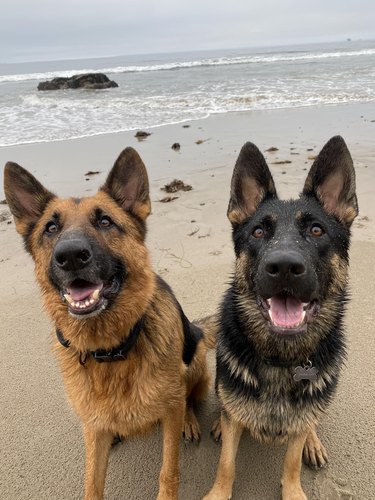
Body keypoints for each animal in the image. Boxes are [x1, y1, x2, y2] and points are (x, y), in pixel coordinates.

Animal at [3, 146, 214, 498]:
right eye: (51, 228)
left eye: (105, 221)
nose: (71, 256)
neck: (110, 350)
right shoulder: (92, 430)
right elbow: (92, 481)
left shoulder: (169, 412)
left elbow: (168, 471)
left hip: (194, 359)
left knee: (188, 397)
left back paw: (189, 420)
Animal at [204, 137, 360, 500]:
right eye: (259, 232)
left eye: (317, 230)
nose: (285, 266)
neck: (281, 359)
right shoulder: (233, 423)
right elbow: (226, 463)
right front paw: (218, 492)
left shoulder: (300, 423)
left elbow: (291, 461)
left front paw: (293, 489)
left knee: (311, 421)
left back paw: (313, 442)